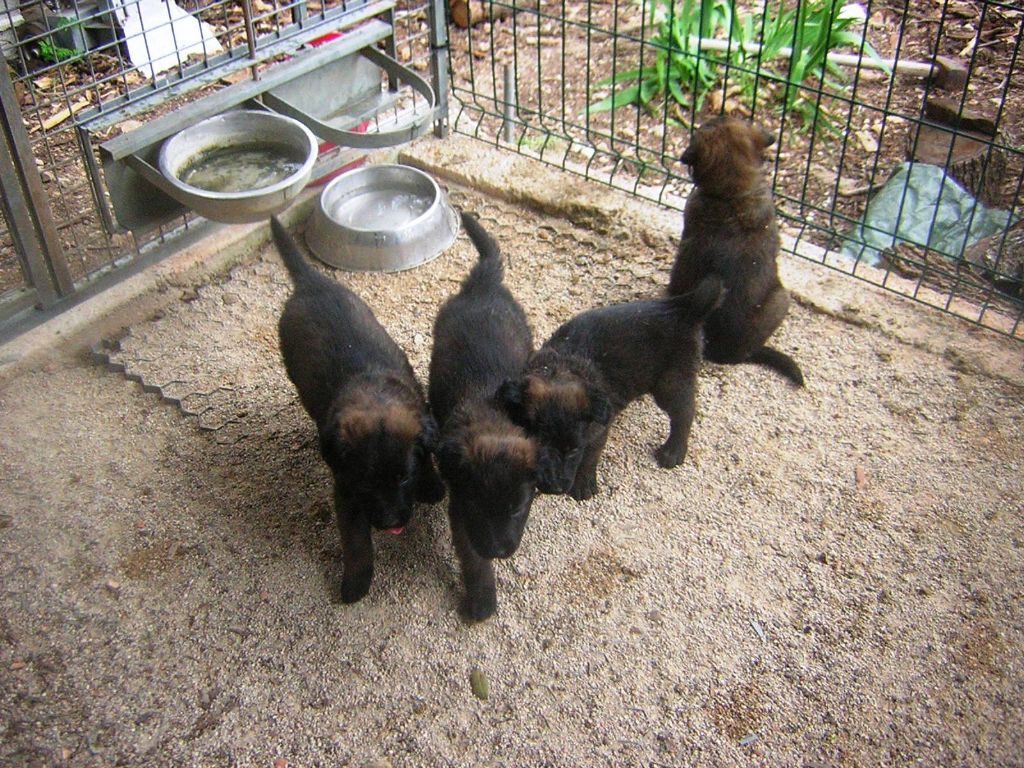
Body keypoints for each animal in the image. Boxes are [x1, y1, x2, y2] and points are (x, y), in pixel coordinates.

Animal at [270, 218, 442, 606]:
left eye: (404, 477)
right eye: (366, 482)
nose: (391, 523)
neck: (372, 390)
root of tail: (311, 281)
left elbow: (426, 457)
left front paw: (433, 486)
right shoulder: (346, 490)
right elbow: (356, 543)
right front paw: (356, 583)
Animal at [425, 214, 536, 622]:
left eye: (518, 507)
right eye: (478, 506)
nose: (500, 551)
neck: (490, 412)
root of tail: (483, 284)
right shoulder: (461, 509)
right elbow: (472, 557)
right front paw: (483, 596)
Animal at [499, 276, 724, 505]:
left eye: (574, 450)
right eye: (540, 448)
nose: (556, 488)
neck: (560, 366)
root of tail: (683, 307)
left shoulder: (598, 430)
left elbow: (590, 456)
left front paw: (583, 484)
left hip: (671, 382)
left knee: (685, 413)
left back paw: (673, 452)